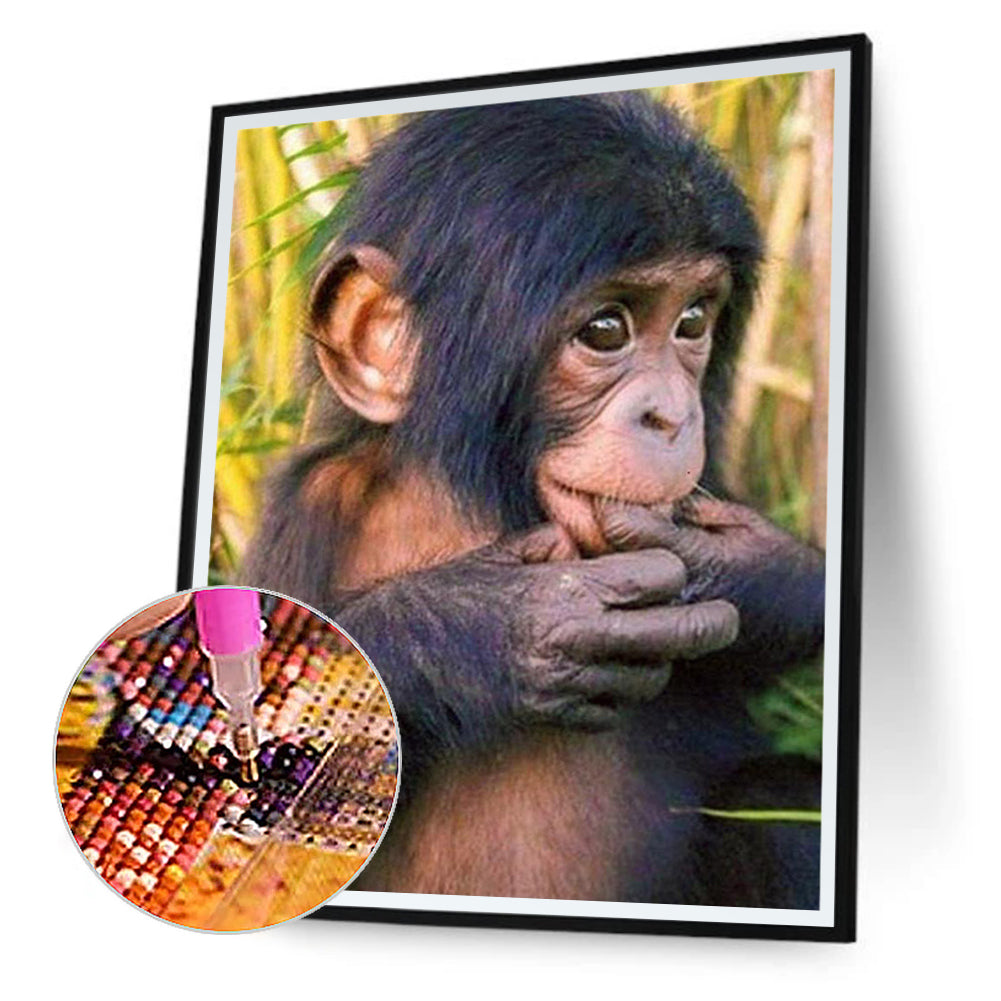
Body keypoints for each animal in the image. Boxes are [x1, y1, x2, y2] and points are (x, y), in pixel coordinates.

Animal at [241, 92, 826, 906]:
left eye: (692, 322)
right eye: (605, 329)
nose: (672, 414)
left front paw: (742, 568)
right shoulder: (305, 514)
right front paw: (495, 624)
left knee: (780, 801)